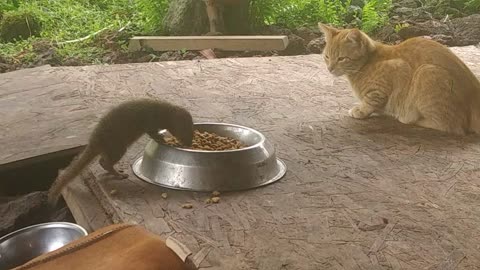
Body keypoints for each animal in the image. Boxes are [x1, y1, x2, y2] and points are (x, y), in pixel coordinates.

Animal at [318, 23, 480, 135]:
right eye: (327, 57)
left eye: (341, 58)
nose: (330, 68)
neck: (367, 63)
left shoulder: (397, 71)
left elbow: (371, 100)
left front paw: (361, 110)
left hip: (425, 72)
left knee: (452, 126)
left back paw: (411, 118)